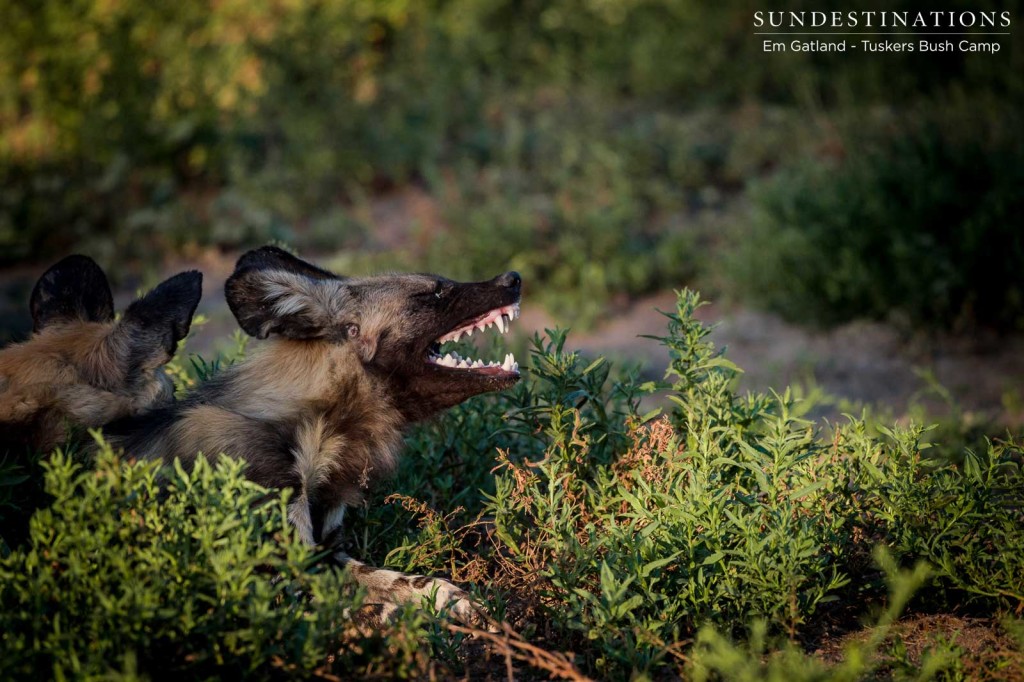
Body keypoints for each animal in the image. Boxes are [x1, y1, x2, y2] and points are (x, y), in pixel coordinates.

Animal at [108, 246, 524, 622]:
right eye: (434, 293)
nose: (513, 278)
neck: (317, 432)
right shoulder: (279, 581)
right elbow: (364, 607)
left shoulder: (331, 552)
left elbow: (407, 582)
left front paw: (458, 603)